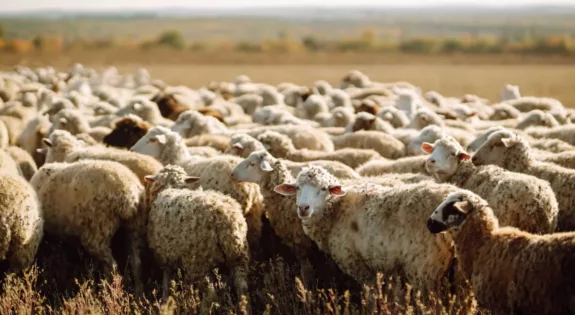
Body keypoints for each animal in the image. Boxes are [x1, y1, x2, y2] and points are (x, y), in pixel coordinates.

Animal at [30, 162, 145, 296]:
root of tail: (129, 195)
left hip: (98, 231)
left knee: (111, 266)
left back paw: (108, 293)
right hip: (134, 228)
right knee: (136, 263)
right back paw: (138, 294)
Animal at [145, 167, 249, 302]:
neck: (170, 187)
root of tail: (225, 219)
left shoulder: (165, 257)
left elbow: (166, 282)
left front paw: (164, 300)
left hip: (199, 260)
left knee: (211, 293)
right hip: (238, 254)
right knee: (242, 286)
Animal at [276, 167, 464, 292]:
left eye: (323, 189)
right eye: (297, 188)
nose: (303, 208)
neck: (337, 210)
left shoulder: (357, 264)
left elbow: (371, 295)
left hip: (425, 267)